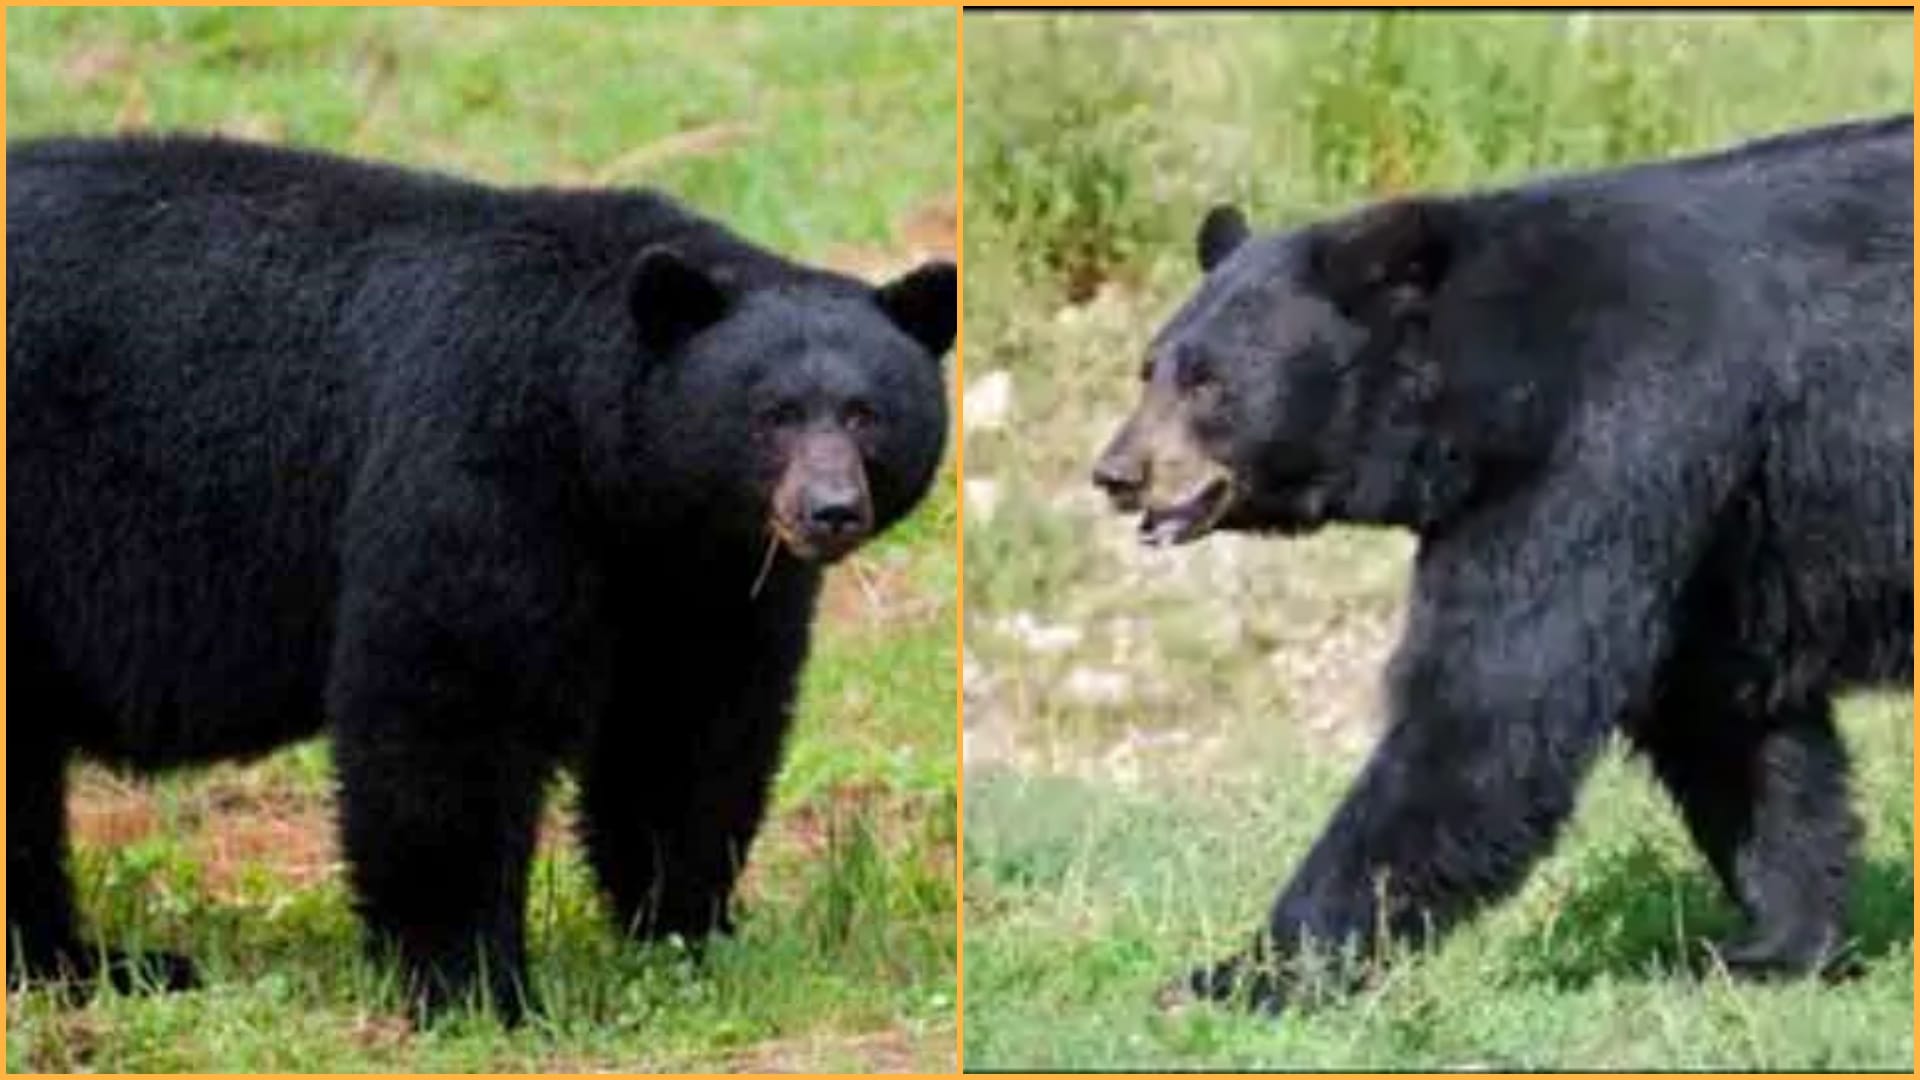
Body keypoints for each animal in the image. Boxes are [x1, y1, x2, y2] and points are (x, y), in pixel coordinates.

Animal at [7, 133, 955, 1024]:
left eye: (866, 413)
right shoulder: (482, 457)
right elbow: (452, 706)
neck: (602, 454)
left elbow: (688, 729)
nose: (829, 511)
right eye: (772, 415)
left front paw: (689, 931)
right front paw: (477, 985)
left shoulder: (692, 574)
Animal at [1091, 114, 1913, 1012]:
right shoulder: (1710, 532)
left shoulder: (1613, 438)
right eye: (1149, 367)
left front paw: (1240, 974)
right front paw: (1776, 945)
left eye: (1209, 383)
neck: (1493, 385)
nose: (1118, 472)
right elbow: (1722, 717)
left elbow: (1491, 704)